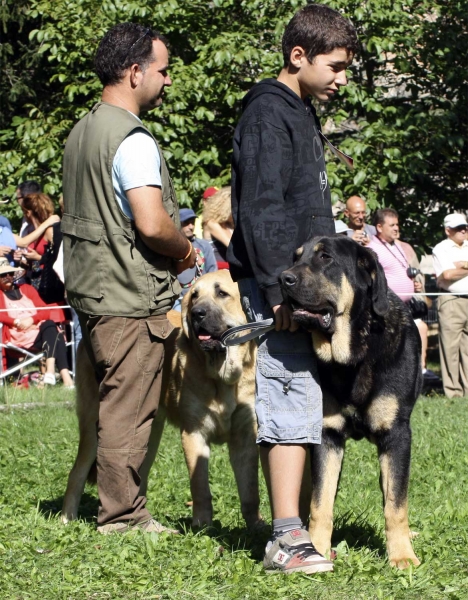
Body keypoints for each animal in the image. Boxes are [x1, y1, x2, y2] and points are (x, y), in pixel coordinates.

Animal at [60, 272, 262, 528]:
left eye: (222, 293)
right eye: (194, 296)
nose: (197, 313)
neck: (222, 375)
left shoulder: (245, 438)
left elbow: (250, 491)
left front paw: (255, 526)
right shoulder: (194, 434)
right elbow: (200, 487)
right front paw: (202, 526)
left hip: (149, 432)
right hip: (93, 426)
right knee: (76, 472)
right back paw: (67, 519)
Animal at [280, 233, 422, 568]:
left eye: (326, 258)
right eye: (296, 257)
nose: (283, 278)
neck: (354, 355)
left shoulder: (397, 436)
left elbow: (396, 504)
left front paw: (402, 556)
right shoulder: (327, 436)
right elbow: (321, 504)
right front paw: (317, 549)